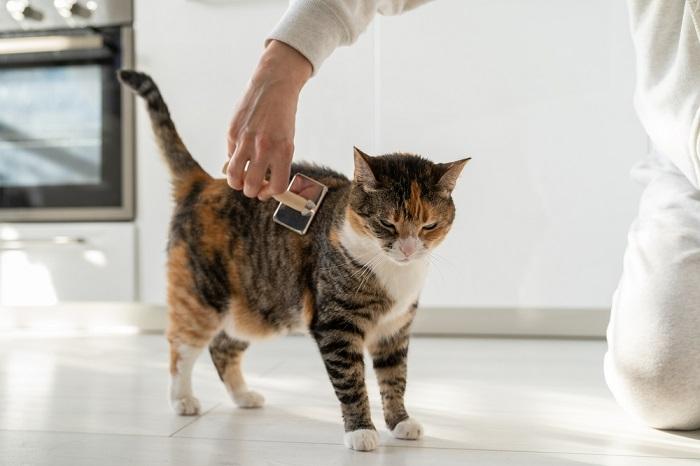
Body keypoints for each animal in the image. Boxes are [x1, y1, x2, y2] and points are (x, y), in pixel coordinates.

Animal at [117, 69, 470, 452]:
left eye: (429, 226)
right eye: (387, 223)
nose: (407, 249)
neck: (392, 271)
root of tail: (205, 182)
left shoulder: (395, 329)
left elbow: (395, 378)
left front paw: (400, 421)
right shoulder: (336, 325)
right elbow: (351, 382)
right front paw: (361, 431)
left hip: (258, 305)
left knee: (223, 347)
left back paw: (243, 396)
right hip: (202, 296)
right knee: (182, 346)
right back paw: (182, 399)